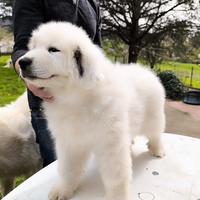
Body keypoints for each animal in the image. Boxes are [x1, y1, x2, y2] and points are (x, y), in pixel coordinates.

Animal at [18, 21, 166, 200]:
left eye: (53, 50)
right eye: (33, 47)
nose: (22, 62)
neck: (75, 97)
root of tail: (145, 70)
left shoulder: (110, 143)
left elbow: (116, 176)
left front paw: (117, 196)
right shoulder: (70, 141)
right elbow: (68, 169)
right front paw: (64, 190)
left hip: (154, 117)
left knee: (155, 134)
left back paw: (157, 150)